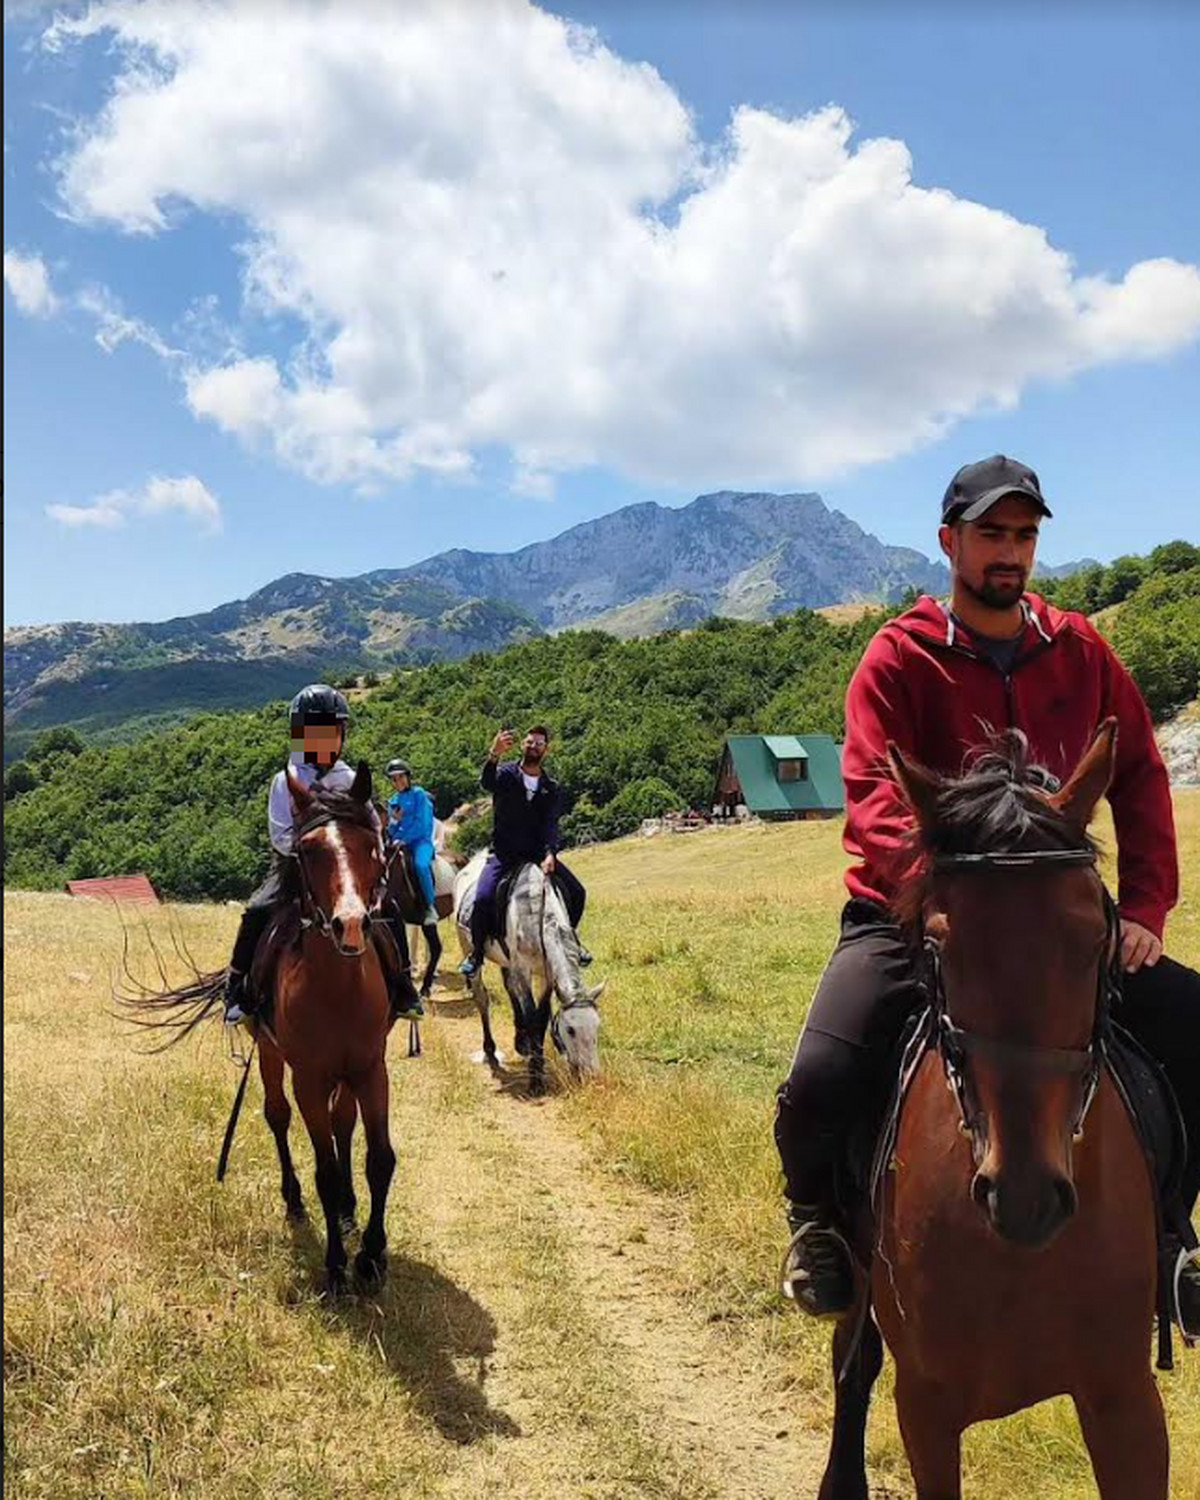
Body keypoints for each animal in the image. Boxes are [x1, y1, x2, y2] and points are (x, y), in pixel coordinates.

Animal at [453, 846, 606, 1092]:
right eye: (570, 1030)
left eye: (597, 1027)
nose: (591, 1076)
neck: (536, 914)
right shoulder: (524, 970)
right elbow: (532, 1014)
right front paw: (535, 1079)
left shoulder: (546, 973)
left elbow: (541, 1016)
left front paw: (535, 1061)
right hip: (468, 950)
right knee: (481, 999)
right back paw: (490, 1049)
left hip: (507, 962)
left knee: (509, 988)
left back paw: (521, 1041)